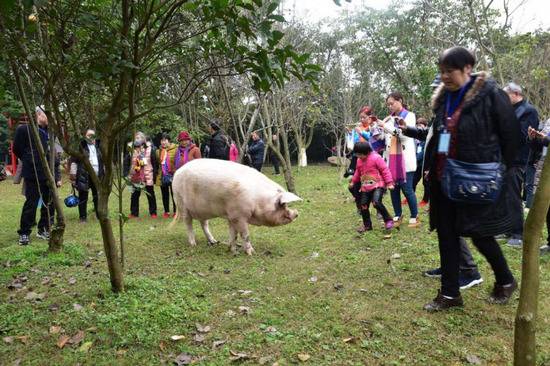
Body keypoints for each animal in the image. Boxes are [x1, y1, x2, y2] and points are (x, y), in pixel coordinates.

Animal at [171, 159, 302, 256]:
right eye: (282, 204)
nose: (296, 213)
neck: (257, 200)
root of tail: (177, 172)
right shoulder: (239, 216)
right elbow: (245, 234)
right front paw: (251, 253)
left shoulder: (232, 216)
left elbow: (233, 234)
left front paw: (232, 250)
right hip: (181, 204)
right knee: (188, 224)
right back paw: (193, 244)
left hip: (202, 211)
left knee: (204, 224)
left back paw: (214, 242)